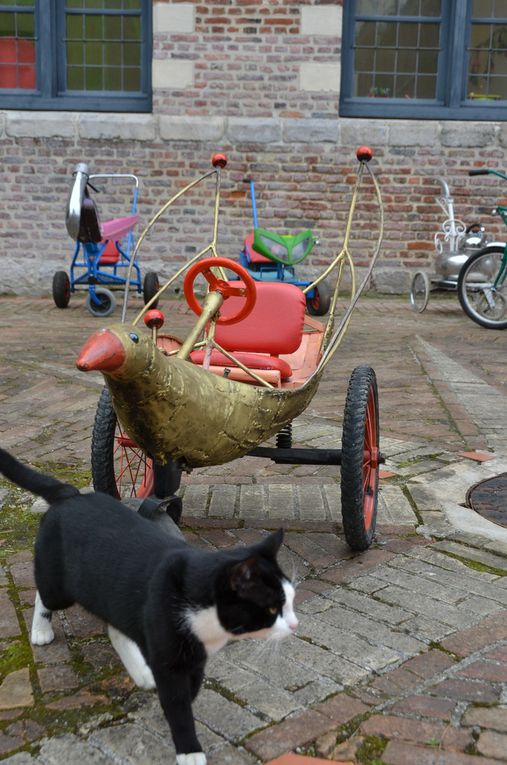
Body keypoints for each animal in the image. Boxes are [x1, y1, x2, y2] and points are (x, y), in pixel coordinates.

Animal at [0, 448, 298, 764]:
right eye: (272, 609)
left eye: (291, 602)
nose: (294, 625)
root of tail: (71, 494)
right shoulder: (169, 655)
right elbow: (178, 704)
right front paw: (189, 750)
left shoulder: (193, 655)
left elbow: (189, 687)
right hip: (61, 585)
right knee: (45, 593)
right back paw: (41, 631)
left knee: (116, 627)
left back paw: (140, 672)